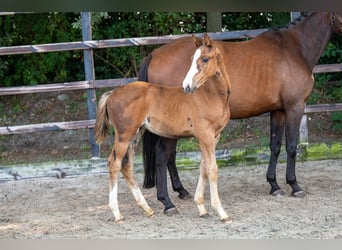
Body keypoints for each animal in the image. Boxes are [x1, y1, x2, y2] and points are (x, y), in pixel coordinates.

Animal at [95, 33, 232, 223]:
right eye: (192, 58)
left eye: (205, 58)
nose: (187, 86)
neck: (211, 95)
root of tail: (112, 94)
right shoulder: (205, 136)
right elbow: (212, 170)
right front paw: (221, 212)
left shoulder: (214, 136)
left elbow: (203, 168)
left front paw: (201, 207)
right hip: (123, 135)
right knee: (114, 164)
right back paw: (117, 213)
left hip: (136, 134)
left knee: (127, 165)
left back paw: (147, 208)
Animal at [139, 11, 342, 213]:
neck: (294, 48)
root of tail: (154, 54)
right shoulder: (295, 107)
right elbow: (292, 147)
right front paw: (294, 186)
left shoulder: (278, 111)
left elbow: (275, 146)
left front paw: (274, 185)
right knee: (162, 155)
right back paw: (167, 202)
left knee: (170, 157)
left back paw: (181, 191)